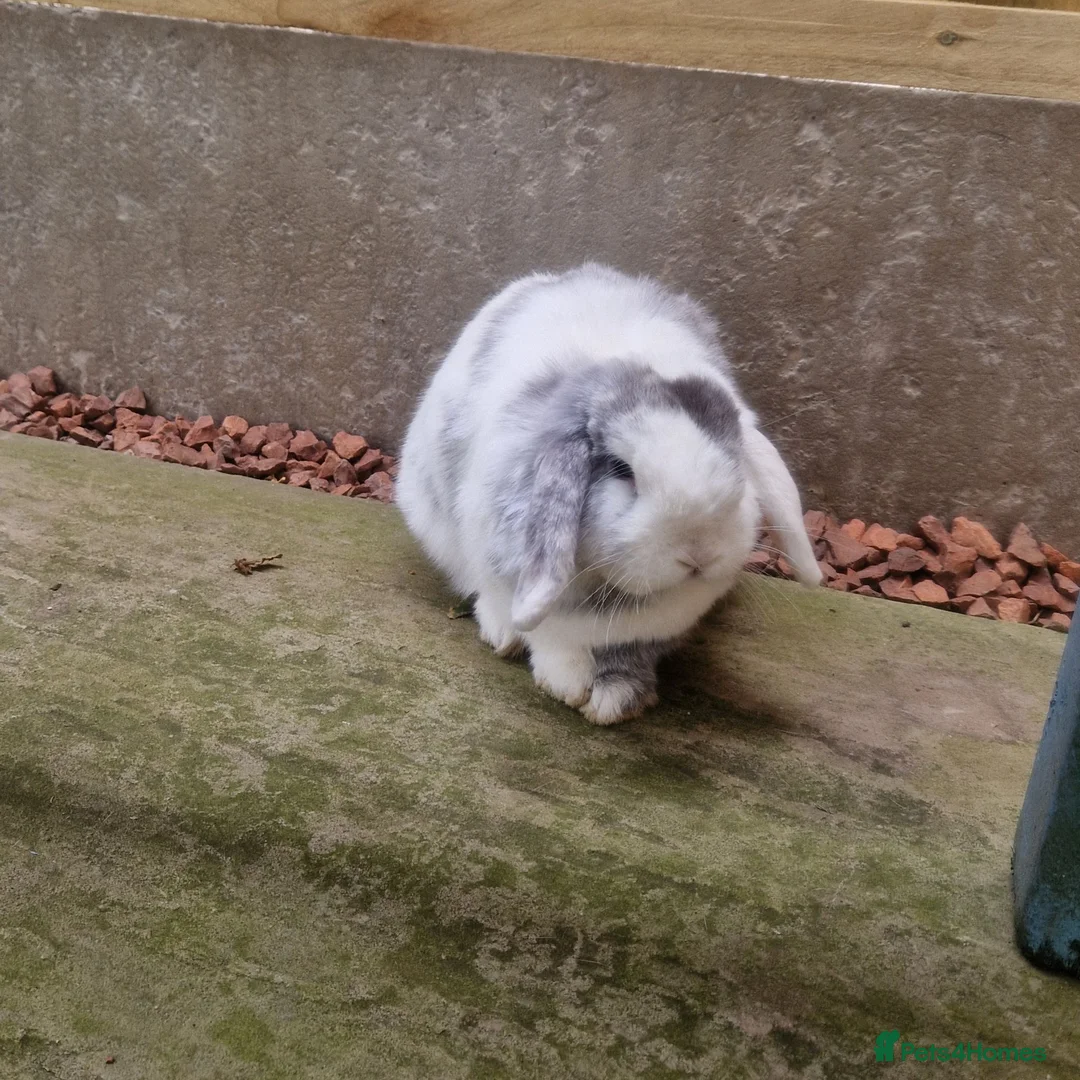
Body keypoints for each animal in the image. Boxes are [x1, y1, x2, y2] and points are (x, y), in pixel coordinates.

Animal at [396, 263, 821, 725]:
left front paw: (616, 697)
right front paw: (568, 685)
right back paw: (502, 633)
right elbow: (551, 638)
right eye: (621, 469)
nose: (699, 554)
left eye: (735, 461)